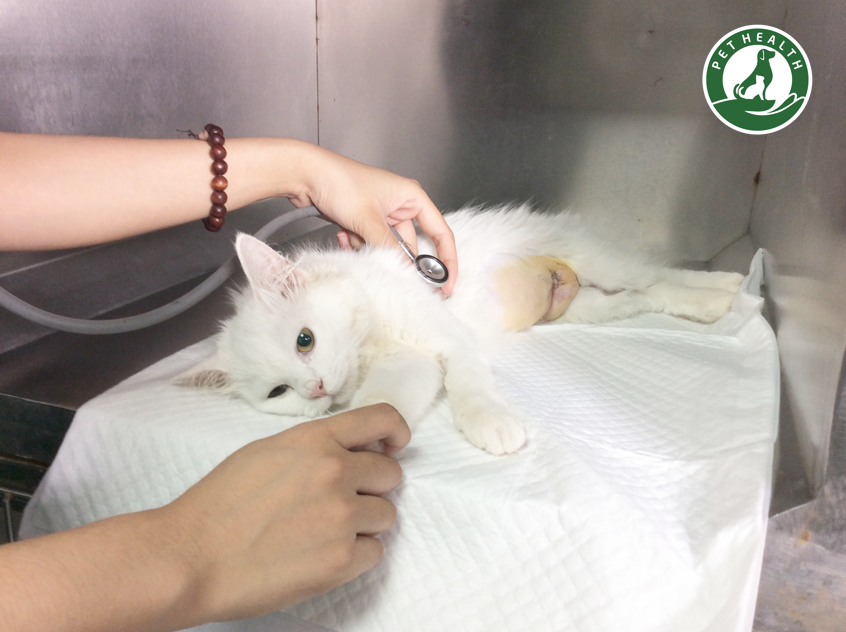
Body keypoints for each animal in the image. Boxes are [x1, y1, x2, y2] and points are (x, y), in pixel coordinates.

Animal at [178, 204, 743, 455]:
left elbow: (470, 384)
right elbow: (381, 406)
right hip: (589, 307)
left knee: (660, 275)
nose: (315, 389)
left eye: (305, 339)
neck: (370, 341)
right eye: (279, 393)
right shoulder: (411, 366)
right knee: (647, 296)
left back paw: (724, 285)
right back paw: (714, 301)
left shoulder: (447, 336)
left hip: (601, 264)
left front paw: (491, 422)